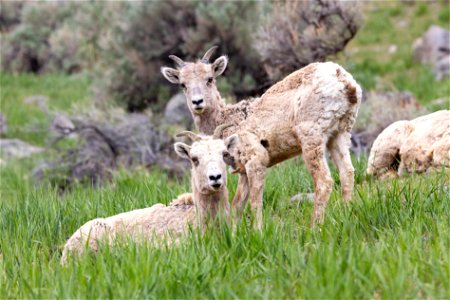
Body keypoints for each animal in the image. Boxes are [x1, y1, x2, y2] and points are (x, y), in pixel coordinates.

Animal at [162, 46, 362, 227]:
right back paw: (346, 216)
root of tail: (345, 82)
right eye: (183, 84)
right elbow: (237, 206)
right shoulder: (243, 171)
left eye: (209, 79)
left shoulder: (256, 161)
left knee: (324, 181)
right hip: (340, 134)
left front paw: (258, 232)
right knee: (347, 173)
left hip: (311, 138)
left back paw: (315, 227)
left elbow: (255, 203)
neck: (231, 119)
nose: (197, 102)